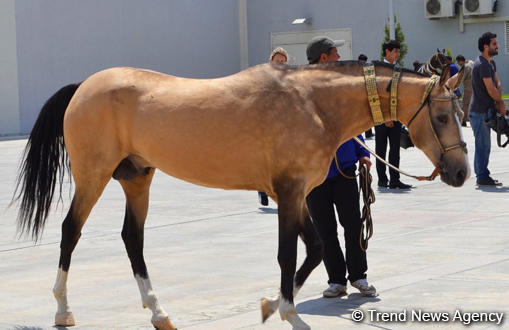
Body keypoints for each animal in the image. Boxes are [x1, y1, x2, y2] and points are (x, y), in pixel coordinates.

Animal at [14, 60, 468, 328]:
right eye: (444, 116)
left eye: (459, 114)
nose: (461, 172)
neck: (313, 104)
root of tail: (83, 87)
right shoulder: (289, 192)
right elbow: (290, 254)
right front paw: (287, 312)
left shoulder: (296, 195)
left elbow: (316, 248)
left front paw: (271, 305)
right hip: (93, 174)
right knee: (71, 231)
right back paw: (63, 310)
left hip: (137, 178)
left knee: (132, 238)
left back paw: (159, 313)